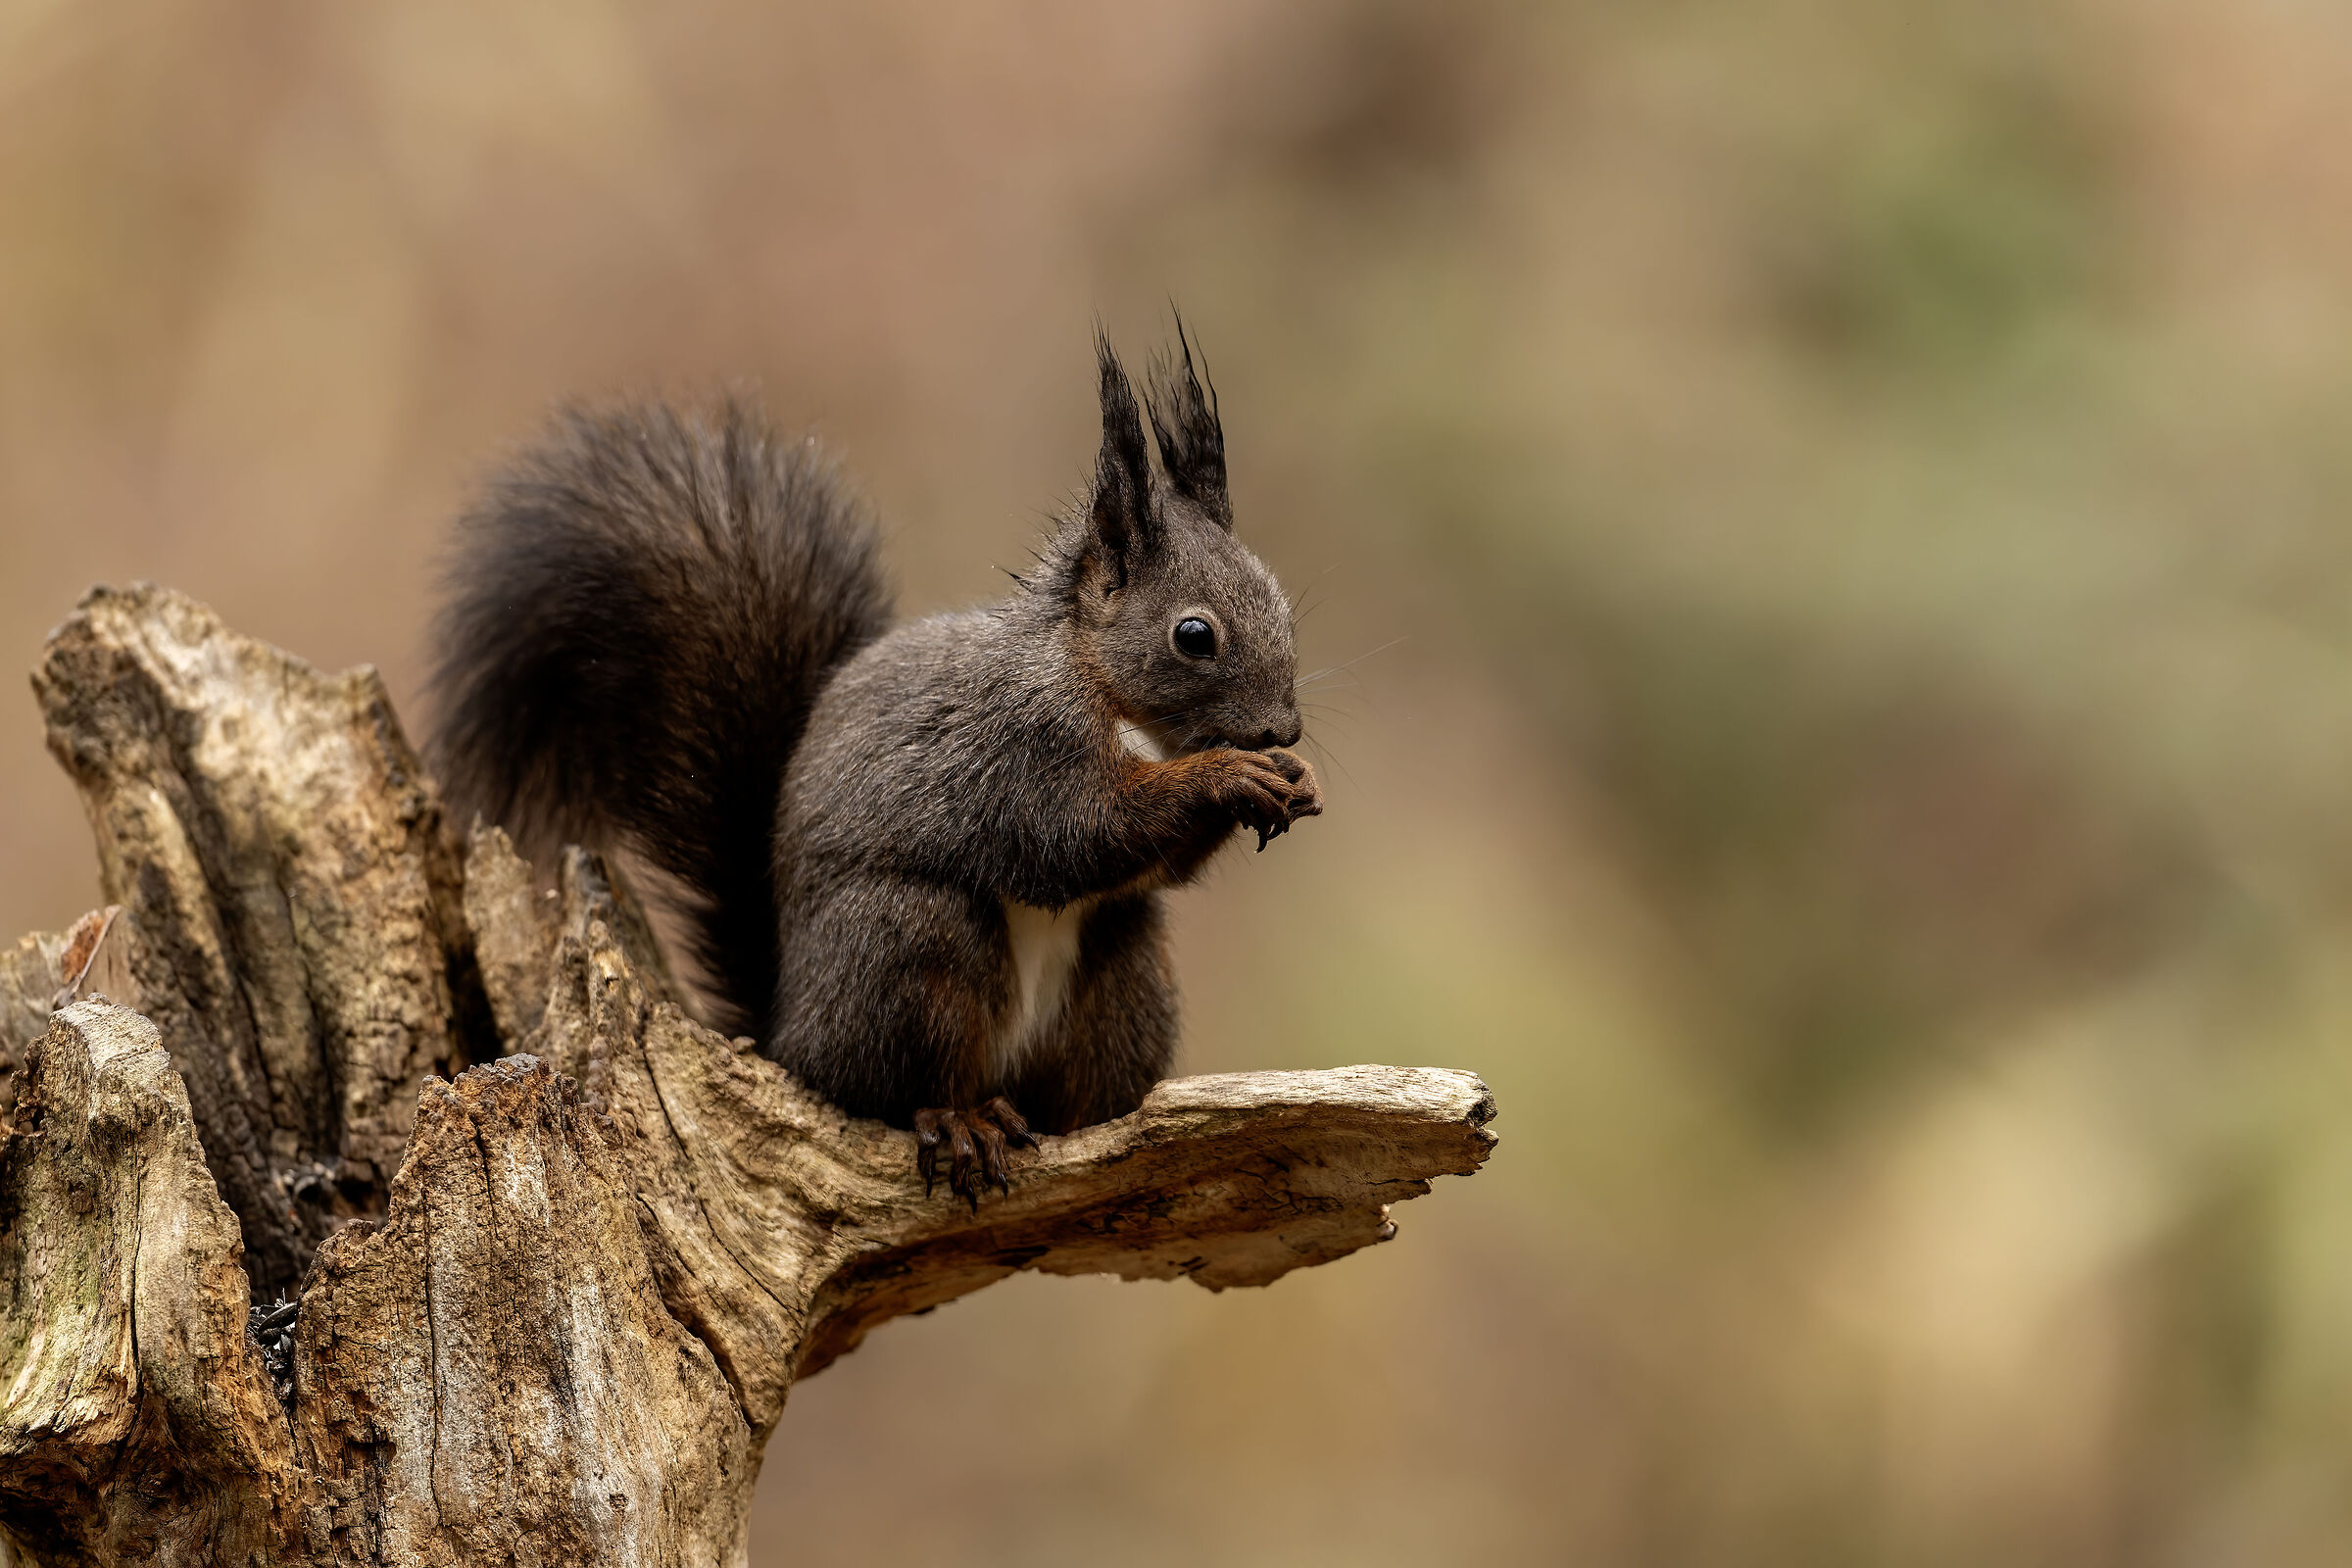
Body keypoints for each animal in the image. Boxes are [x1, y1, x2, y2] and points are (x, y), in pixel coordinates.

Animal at [428, 331, 1322, 1204]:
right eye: (1194, 635)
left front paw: (1291, 776)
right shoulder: (1017, 749)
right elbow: (1077, 837)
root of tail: (788, 1033)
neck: (1116, 700)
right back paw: (961, 1119)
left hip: (1123, 979)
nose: (1285, 725)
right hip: (906, 951)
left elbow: (1156, 867)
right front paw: (1229, 776)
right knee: (895, 1092)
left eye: (1280, 600)